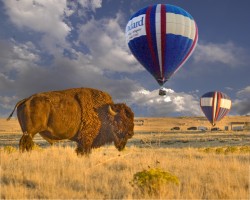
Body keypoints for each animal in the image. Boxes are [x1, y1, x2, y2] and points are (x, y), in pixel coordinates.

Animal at [6, 87, 134, 155]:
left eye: (131, 118)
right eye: (120, 120)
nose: (130, 134)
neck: (102, 112)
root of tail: (26, 99)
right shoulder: (86, 140)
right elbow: (84, 152)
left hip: (28, 133)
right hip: (29, 132)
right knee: (25, 144)